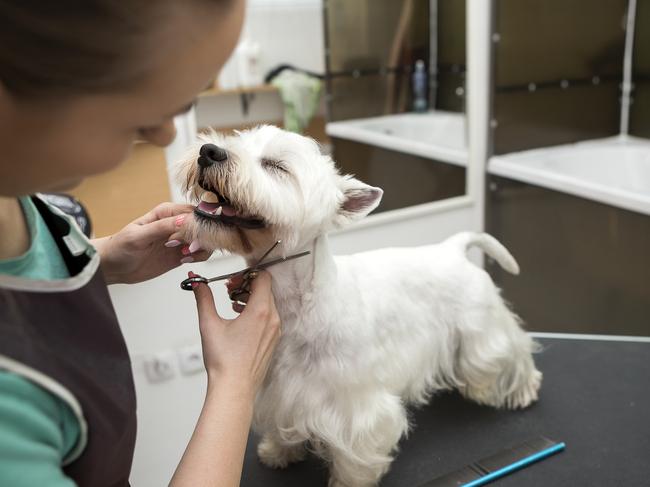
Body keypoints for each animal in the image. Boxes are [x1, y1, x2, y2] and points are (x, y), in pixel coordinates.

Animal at [175, 126, 540, 487]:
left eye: (276, 165)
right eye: (235, 141)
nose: (209, 152)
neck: (298, 301)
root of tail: (453, 247)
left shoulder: (356, 409)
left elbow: (355, 457)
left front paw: (348, 481)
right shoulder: (278, 391)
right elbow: (282, 426)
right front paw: (278, 452)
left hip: (483, 330)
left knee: (513, 352)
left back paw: (522, 390)